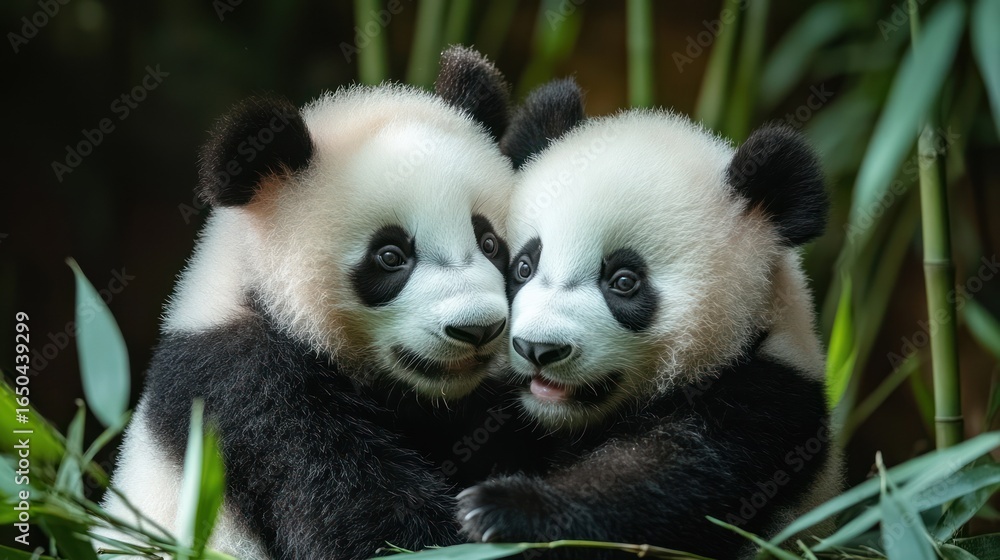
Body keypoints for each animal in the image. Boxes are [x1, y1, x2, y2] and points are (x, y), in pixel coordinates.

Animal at [457, 80, 844, 559]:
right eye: (524, 267)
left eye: (624, 281)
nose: (539, 349)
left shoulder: (768, 402)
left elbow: (675, 479)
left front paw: (507, 508)